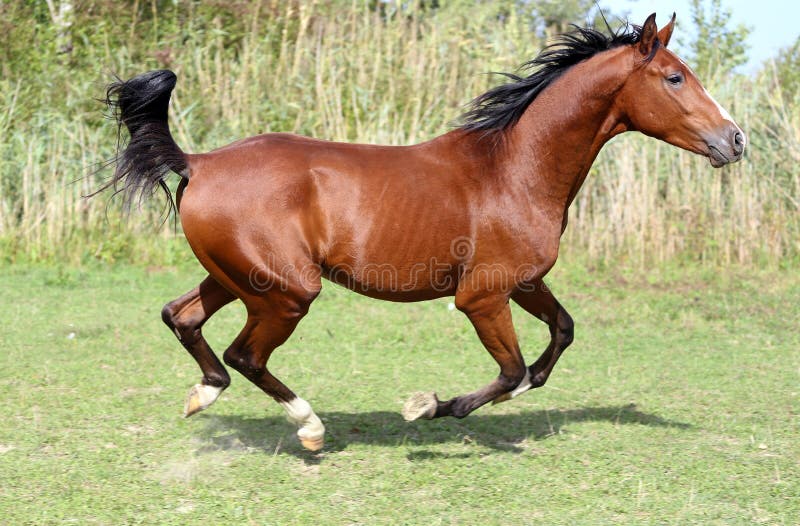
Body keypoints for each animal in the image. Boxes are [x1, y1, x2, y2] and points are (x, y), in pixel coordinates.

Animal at [101, 15, 744, 454]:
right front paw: (429, 407)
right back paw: (311, 429)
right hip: (287, 292)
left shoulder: (524, 283)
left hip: (239, 278)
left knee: (182, 317)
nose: (735, 140)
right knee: (245, 354)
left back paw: (202, 396)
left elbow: (558, 337)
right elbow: (511, 370)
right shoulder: (482, 296)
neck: (514, 169)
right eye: (675, 77)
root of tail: (198, 162)